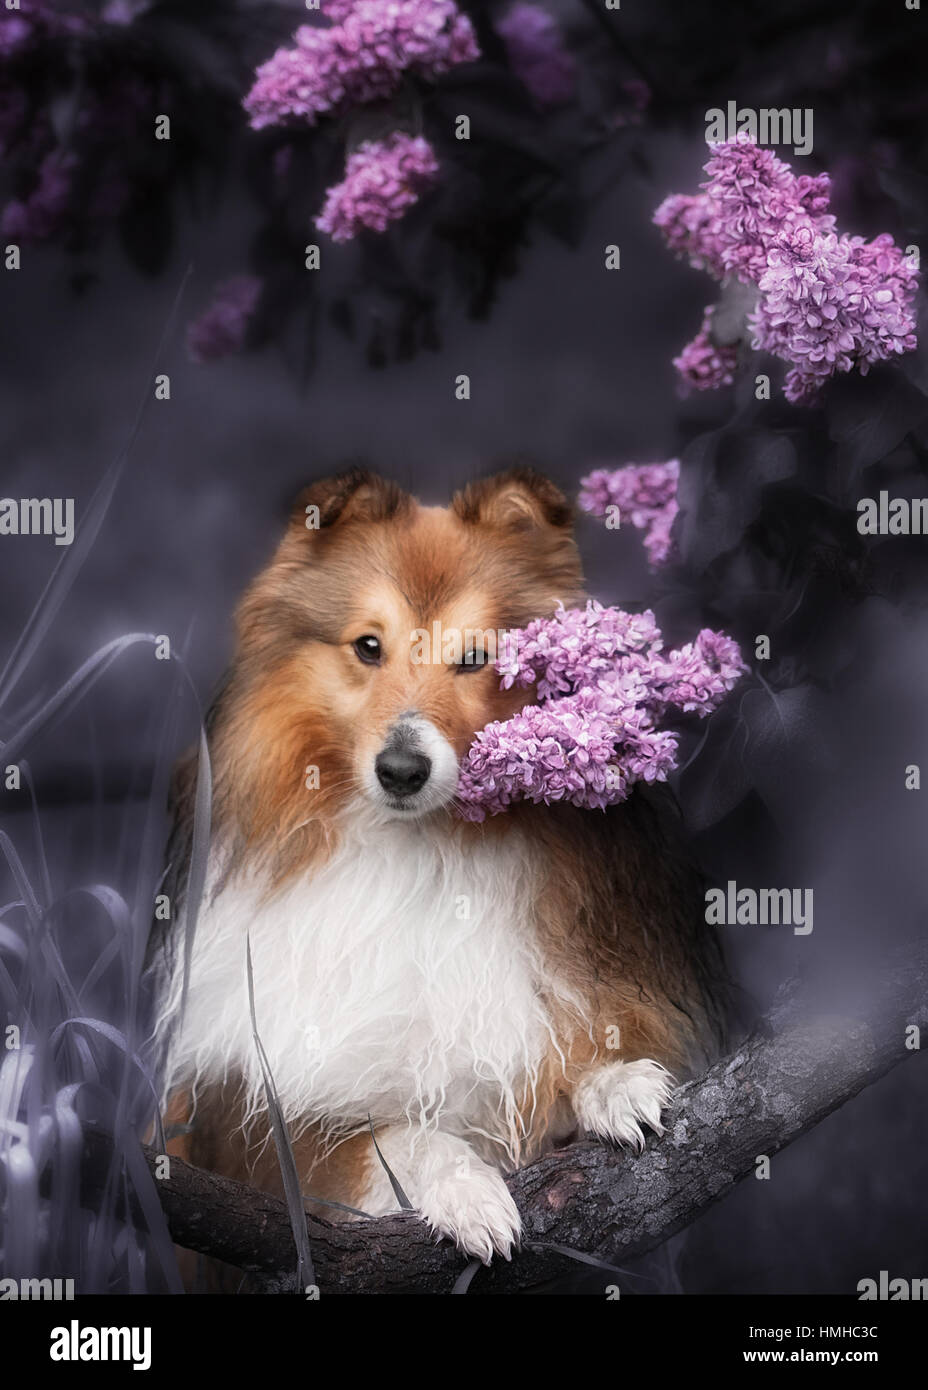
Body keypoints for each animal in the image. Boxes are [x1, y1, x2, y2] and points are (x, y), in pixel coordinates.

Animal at [148, 469, 727, 1273]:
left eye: (478, 657)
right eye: (368, 646)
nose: (401, 770)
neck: (425, 850)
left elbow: (570, 1056)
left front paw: (615, 1084)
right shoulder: (253, 1122)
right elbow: (387, 1136)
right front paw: (468, 1192)